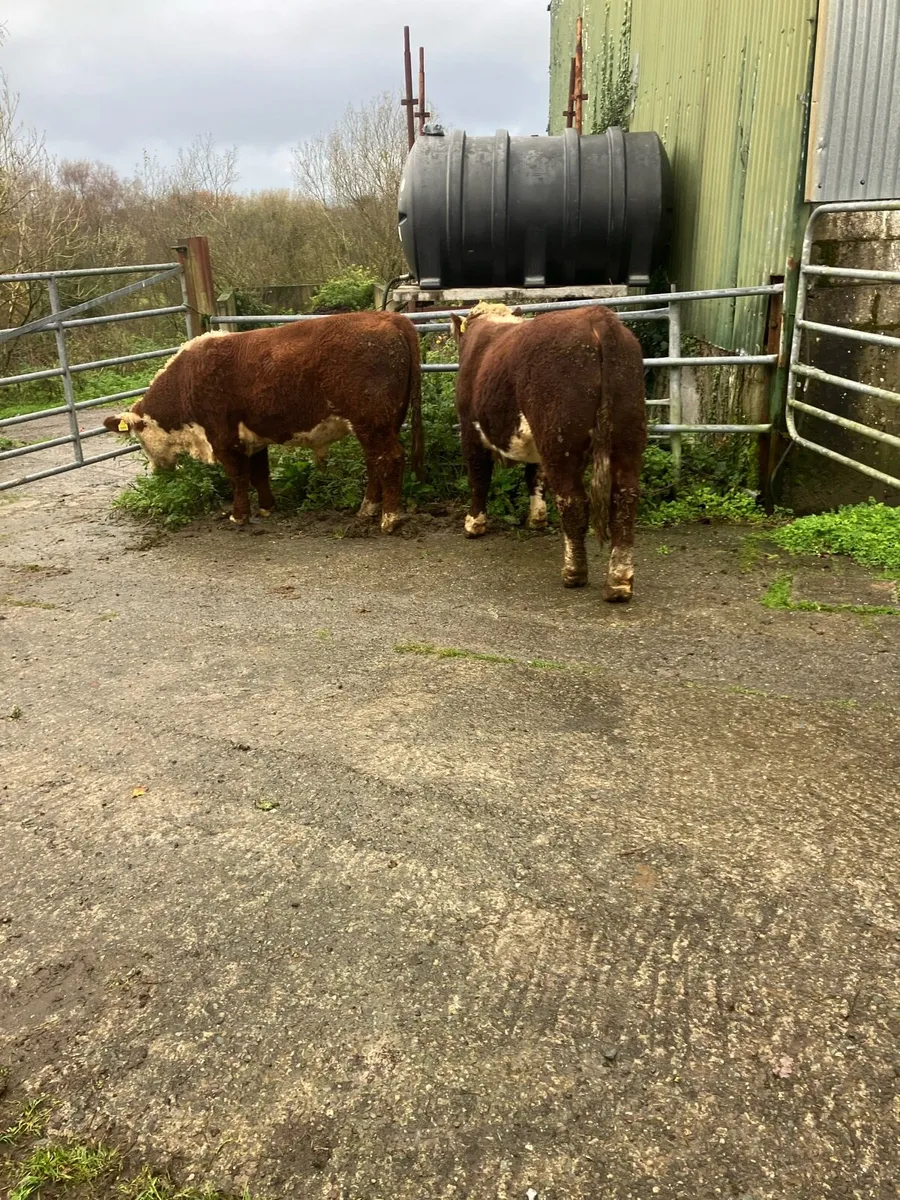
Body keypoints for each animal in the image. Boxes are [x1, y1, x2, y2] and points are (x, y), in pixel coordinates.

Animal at [103, 311, 423, 532]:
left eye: (139, 437)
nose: (159, 470)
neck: (187, 380)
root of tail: (389, 317)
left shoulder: (223, 439)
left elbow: (238, 477)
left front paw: (238, 515)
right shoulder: (253, 439)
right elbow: (260, 474)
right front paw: (267, 508)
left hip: (372, 422)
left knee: (390, 459)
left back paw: (389, 519)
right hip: (382, 423)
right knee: (375, 462)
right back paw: (367, 510)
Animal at [450, 302, 647, 601]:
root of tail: (597, 316)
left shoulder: (470, 430)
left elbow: (479, 477)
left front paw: (474, 523)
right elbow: (535, 476)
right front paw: (537, 518)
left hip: (559, 438)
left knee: (573, 501)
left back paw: (574, 573)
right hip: (627, 434)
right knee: (624, 499)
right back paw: (619, 582)